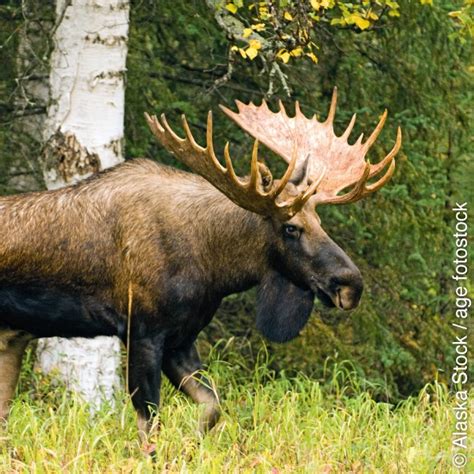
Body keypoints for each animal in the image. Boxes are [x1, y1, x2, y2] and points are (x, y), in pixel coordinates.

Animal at [0, 90, 400, 442]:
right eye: (291, 227)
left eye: (319, 221)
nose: (350, 284)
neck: (214, 268)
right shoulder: (143, 330)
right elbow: (149, 424)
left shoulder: (182, 339)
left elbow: (213, 407)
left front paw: (193, 444)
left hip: (11, 337)